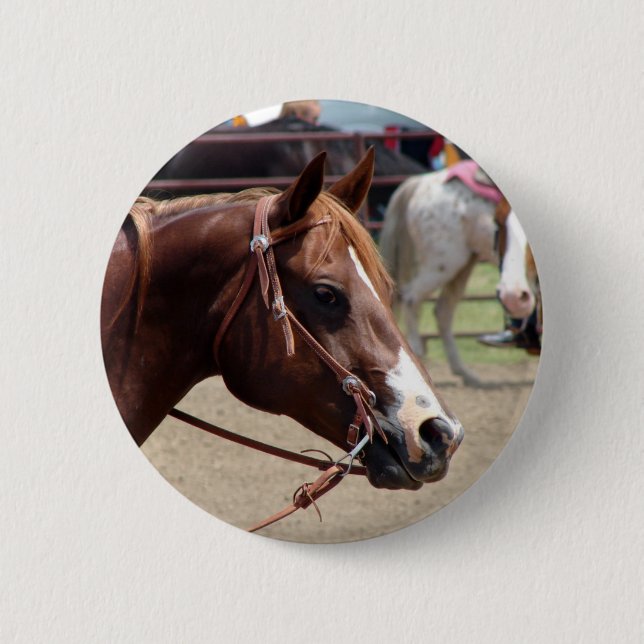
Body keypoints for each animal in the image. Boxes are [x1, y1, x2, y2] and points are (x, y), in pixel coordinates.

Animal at [379, 160, 535, 386]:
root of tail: (420, 182)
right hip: (444, 263)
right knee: (411, 298)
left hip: (463, 265)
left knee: (443, 311)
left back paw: (464, 372)